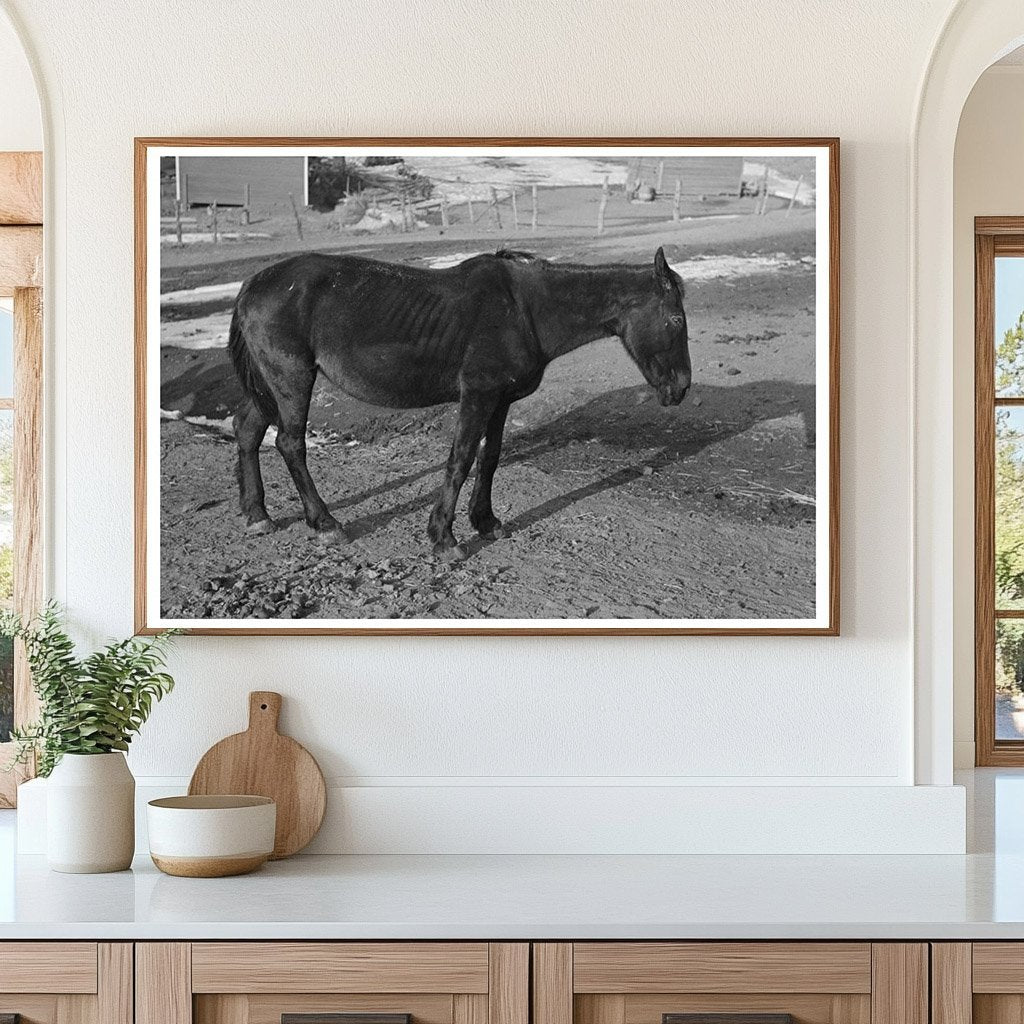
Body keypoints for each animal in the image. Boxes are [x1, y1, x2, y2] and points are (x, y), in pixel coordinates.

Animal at [224, 244, 688, 557]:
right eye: (676, 319)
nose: (682, 387)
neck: (525, 310)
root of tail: (252, 285)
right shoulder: (478, 395)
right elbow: (461, 458)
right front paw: (444, 538)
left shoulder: (500, 400)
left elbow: (490, 457)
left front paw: (486, 521)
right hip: (291, 378)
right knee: (290, 444)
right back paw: (325, 523)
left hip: (270, 385)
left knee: (247, 429)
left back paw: (257, 515)